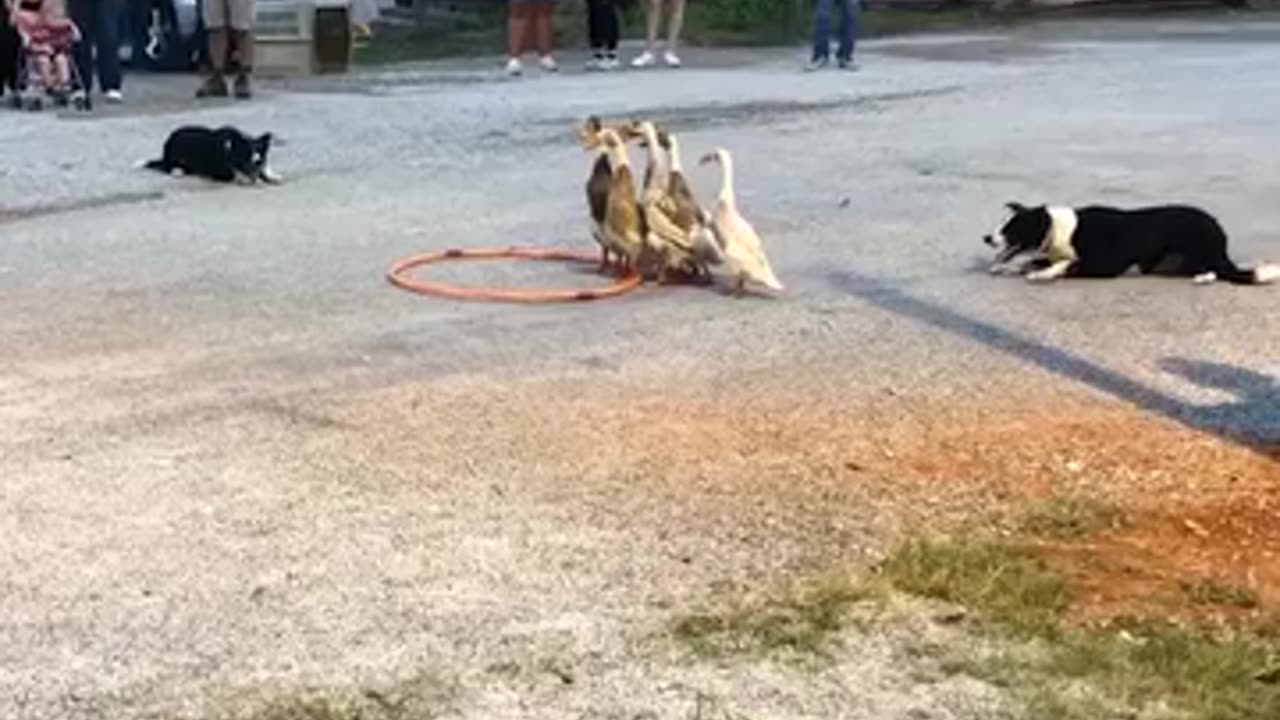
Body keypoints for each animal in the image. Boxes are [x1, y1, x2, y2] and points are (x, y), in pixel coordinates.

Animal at [983, 199, 1274, 284]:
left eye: (1010, 227)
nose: (986, 237)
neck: (1057, 229)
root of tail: (1218, 228)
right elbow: (1031, 260)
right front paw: (1004, 267)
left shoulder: (1103, 265)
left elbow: (1064, 264)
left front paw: (1043, 274)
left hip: (1195, 248)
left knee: (1218, 270)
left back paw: (1204, 277)